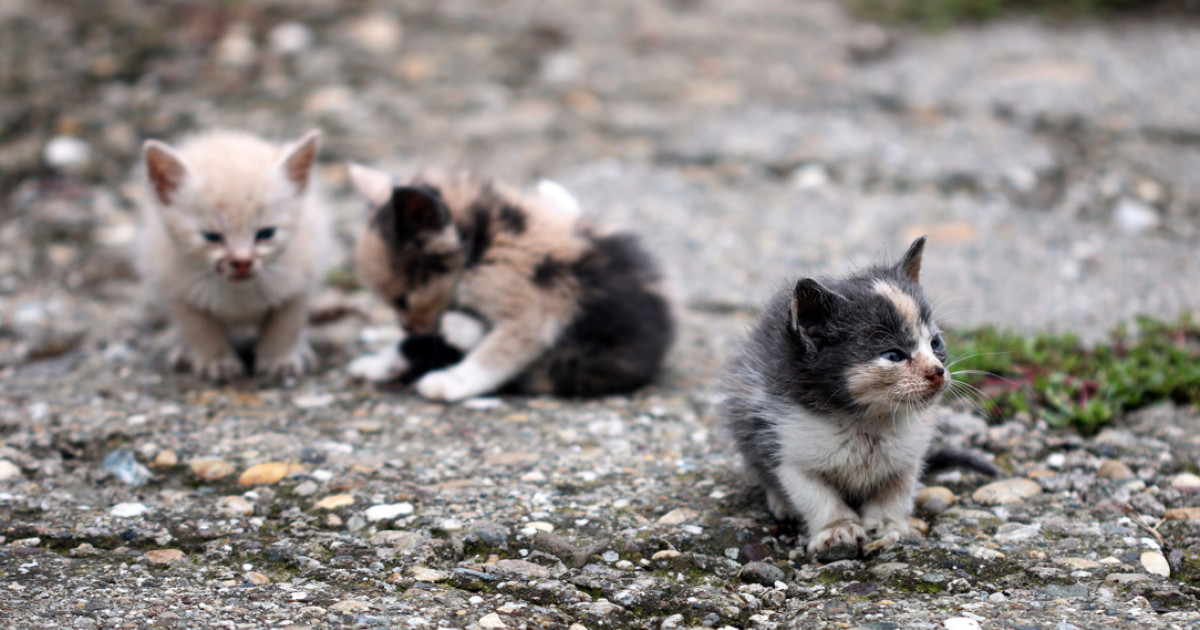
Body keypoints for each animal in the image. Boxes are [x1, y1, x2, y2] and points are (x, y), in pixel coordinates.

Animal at [137, 127, 328, 379]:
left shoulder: (301, 283)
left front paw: (280, 359)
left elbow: (286, 324)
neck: (240, 294)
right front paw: (218, 362)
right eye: (211, 236)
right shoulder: (176, 290)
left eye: (266, 233)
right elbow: (199, 329)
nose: (242, 262)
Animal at [345, 162, 676, 398]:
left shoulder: (533, 308)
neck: (480, 243)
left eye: (403, 299)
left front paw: (450, 382)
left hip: (575, 361)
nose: (407, 327)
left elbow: (497, 354)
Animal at [715, 237, 960, 554]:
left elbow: (896, 492)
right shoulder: (786, 446)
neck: (866, 422)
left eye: (936, 342)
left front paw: (887, 527)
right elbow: (815, 496)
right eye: (893, 355)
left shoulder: (908, 456)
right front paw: (838, 529)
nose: (937, 372)